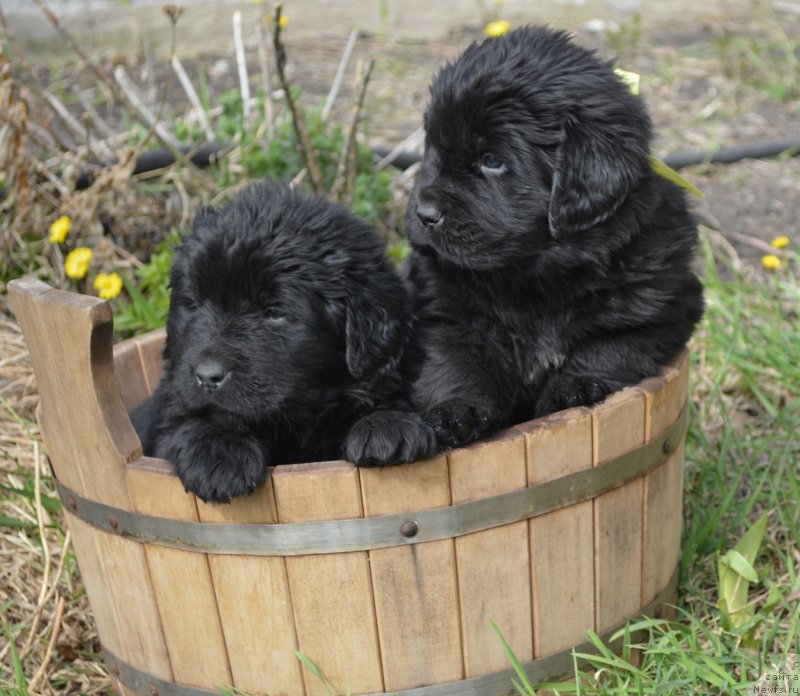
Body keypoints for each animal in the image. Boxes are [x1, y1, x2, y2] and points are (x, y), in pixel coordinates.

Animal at [134, 184, 434, 500]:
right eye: (193, 304)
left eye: (275, 313)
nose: (207, 376)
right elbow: (187, 419)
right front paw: (218, 453)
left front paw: (387, 425)